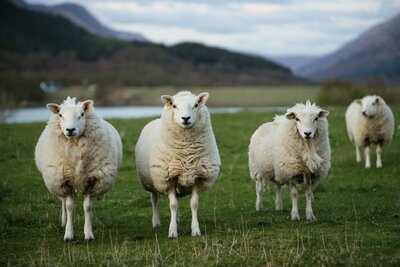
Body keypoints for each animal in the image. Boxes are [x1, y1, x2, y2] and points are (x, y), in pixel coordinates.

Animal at [34, 97, 122, 243]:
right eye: (60, 115)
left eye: (82, 114)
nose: (70, 129)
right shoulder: (65, 181)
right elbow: (69, 206)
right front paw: (68, 234)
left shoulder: (92, 181)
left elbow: (87, 207)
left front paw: (88, 233)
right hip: (58, 181)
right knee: (63, 201)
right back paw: (64, 221)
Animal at [136, 91, 220, 239]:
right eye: (174, 106)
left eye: (196, 105)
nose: (185, 118)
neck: (186, 151)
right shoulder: (167, 179)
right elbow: (173, 205)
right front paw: (172, 232)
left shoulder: (198, 177)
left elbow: (194, 204)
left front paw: (195, 230)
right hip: (151, 182)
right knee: (154, 200)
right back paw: (156, 222)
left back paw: (177, 219)